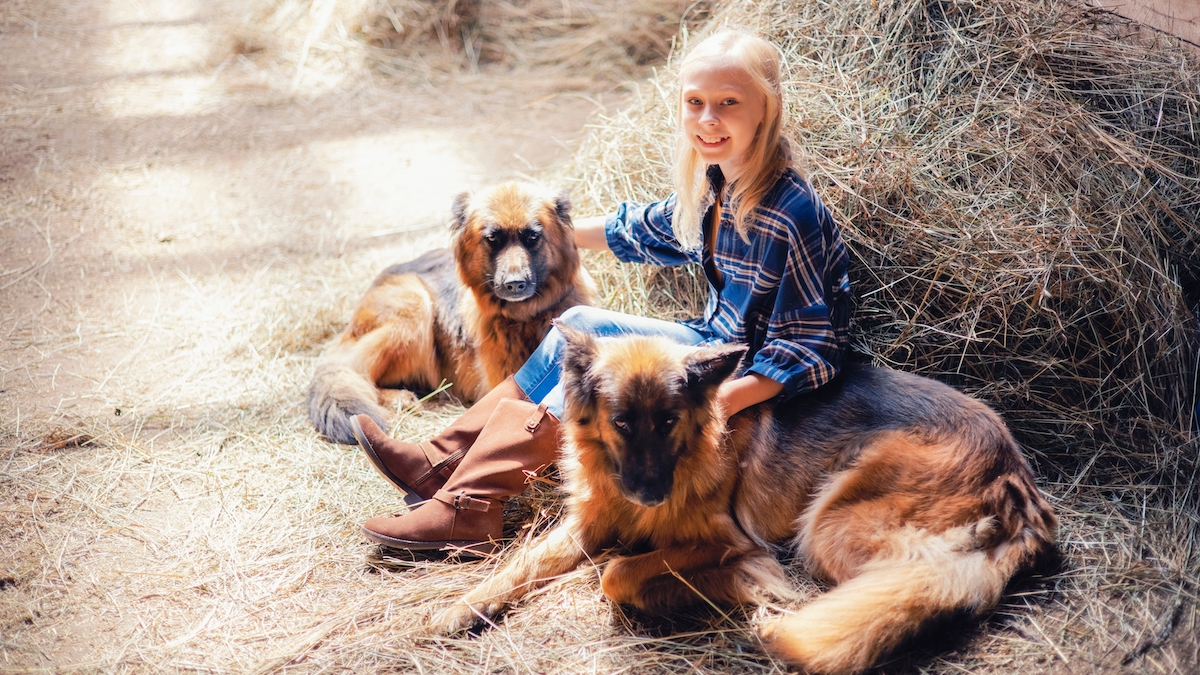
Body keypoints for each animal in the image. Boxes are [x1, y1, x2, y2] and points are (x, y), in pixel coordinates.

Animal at [307, 183, 592, 444]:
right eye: (492, 239)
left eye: (533, 237)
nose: (514, 284)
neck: (524, 318)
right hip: (414, 307)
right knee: (359, 372)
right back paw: (400, 398)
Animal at [434, 324, 1060, 667]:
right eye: (622, 423)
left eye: (668, 421)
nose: (651, 495)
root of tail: (1015, 479)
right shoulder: (590, 522)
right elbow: (521, 565)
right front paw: (457, 609)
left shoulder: (729, 540)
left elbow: (619, 573)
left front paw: (732, 582)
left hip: (829, 527)